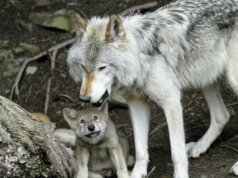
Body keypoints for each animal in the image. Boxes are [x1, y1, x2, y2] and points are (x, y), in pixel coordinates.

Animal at [66, 0, 238, 177]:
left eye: (102, 67)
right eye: (83, 67)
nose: (84, 98)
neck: (139, 58)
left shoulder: (171, 102)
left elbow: (177, 153)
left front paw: (180, 174)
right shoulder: (137, 103)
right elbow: (140, 149)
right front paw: (137, 173)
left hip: (232, 78)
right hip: (205, 78)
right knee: (222, 115)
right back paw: (199, 146)